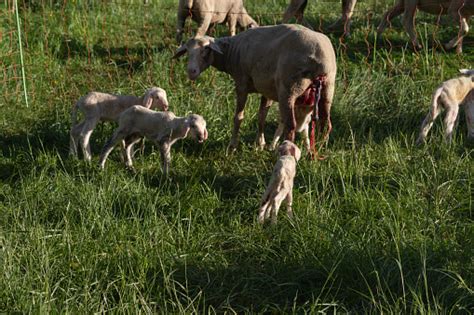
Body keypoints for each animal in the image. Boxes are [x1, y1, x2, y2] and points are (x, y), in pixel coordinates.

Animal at [174, 24, 336, 153]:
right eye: (187, 52)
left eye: (206, 49)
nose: (191, 71)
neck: (231, 51)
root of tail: (320, 58)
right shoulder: (268, 89)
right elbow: (262, 115)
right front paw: (260, 144)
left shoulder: (241, 83)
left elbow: (238, 117)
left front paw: (232, 146)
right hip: (328, 88)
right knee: (326, 123)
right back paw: (320, 149)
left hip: (289, 89)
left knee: (291, 126)